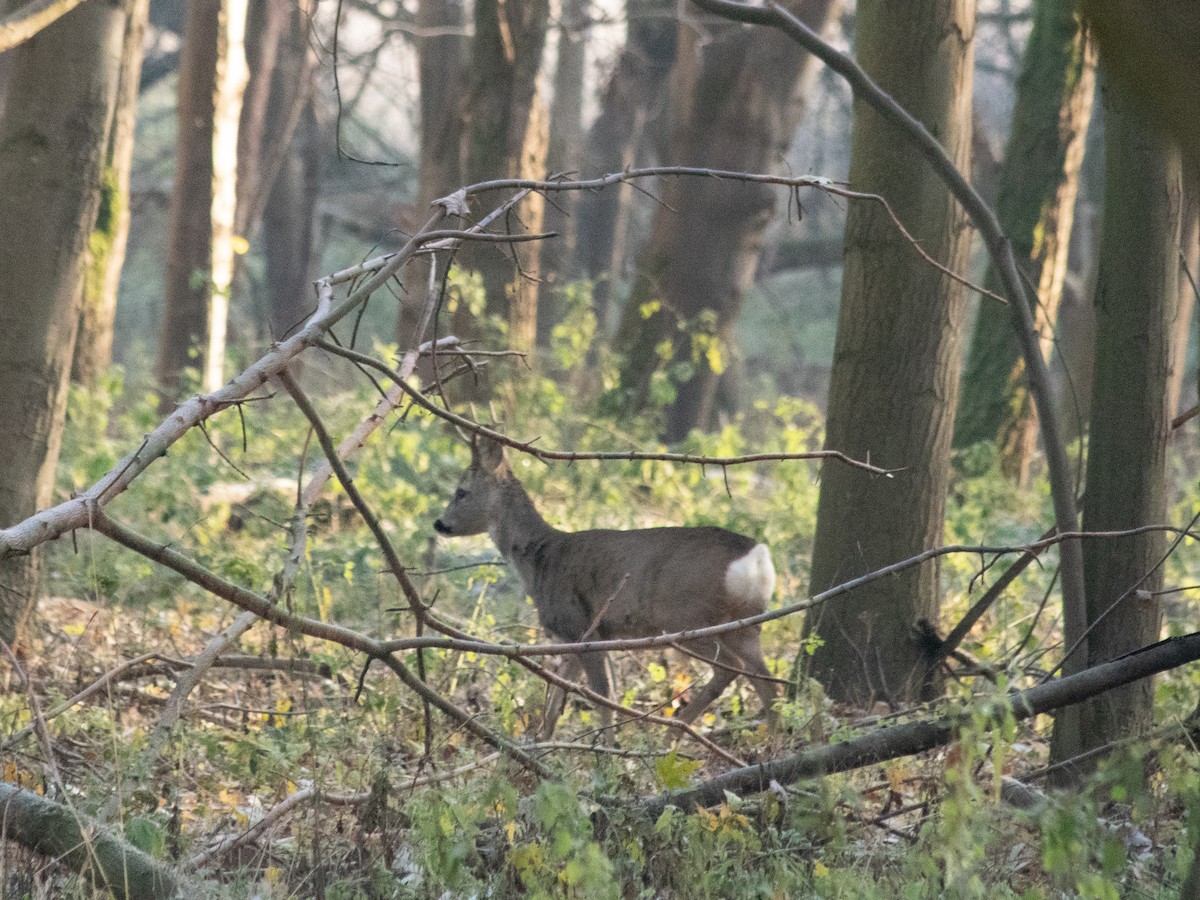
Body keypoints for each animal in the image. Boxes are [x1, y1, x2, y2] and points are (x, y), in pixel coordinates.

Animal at [433, 435, 779, 735]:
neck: (541, 558)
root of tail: (756, 557)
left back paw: (673, 735)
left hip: (686, 618)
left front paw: (604, 756)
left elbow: (602, 696)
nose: (439, 523)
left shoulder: (581, 627)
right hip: (745, 625)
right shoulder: (579, 636)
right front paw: (539, 747)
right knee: (768, 685)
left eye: (461, 491)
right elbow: (555, 703)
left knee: (730, 669)